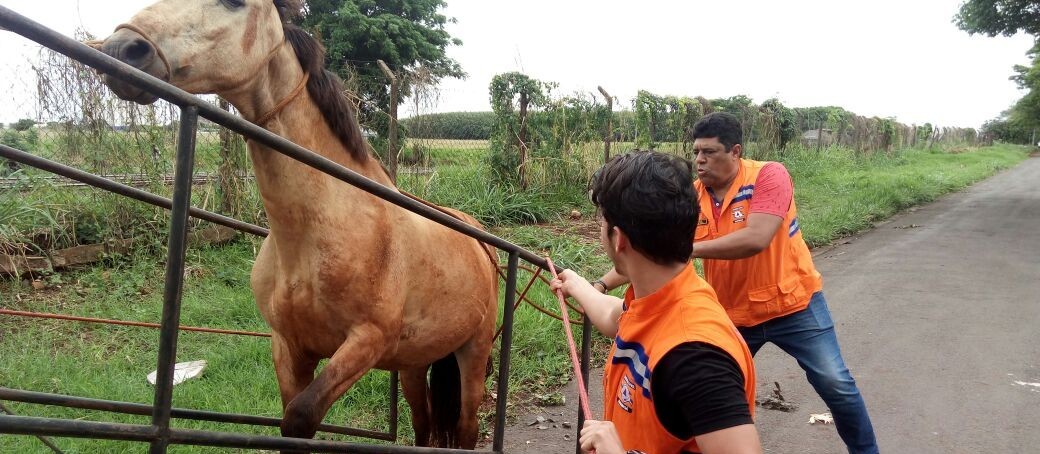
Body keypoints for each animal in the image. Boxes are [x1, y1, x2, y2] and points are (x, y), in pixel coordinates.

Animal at [96, 0, 499, 446]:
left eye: (235, 3)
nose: (122, 48)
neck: (321, 229)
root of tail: (483, 243)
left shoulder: (367, 341)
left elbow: (301, 416)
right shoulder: (289, 346)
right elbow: (292, 418)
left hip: (473, 353)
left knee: (466, 426)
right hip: (414, 360)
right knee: (423, 423)